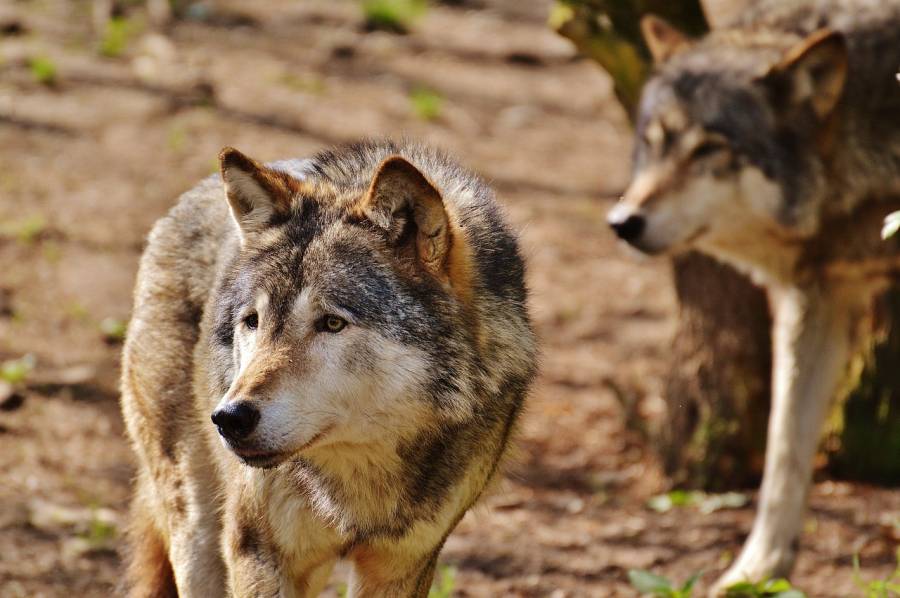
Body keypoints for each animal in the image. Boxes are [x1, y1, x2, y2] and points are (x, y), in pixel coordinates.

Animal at [118, 139, 536, 596]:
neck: (358, 478)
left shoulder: (404, 564)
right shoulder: (258, 554)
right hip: (198, 531)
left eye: (332, 323)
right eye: (253, 321)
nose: (229, 418)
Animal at [604, 0, 900, 596]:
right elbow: (784, 450)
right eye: (653, 141)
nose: (623, 222)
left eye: (710, 149)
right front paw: (757, 570)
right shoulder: (813, 301)